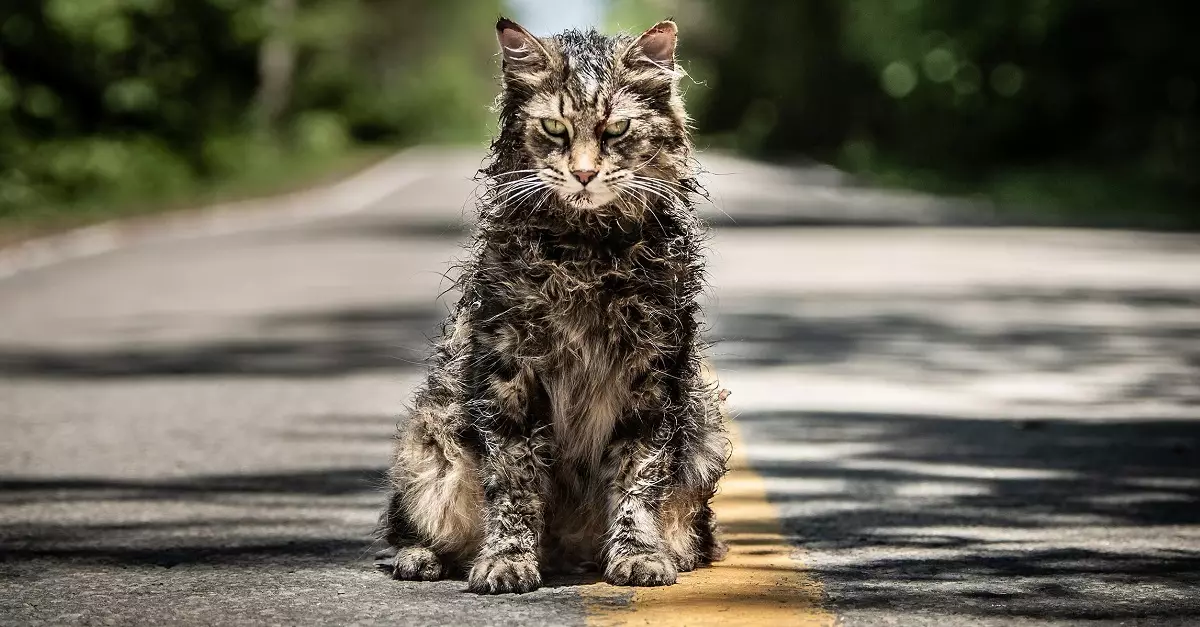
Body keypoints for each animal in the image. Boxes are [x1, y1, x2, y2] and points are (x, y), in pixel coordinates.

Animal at [379, 17, 724, 593]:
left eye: (616, 130)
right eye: (555, 129)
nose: (583, 174)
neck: (586, 253)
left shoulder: (652, 376)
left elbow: (637, 478)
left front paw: (638, 554)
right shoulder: (508, 372)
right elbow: (514, 482)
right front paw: (507, 560)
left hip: (705, 433)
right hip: (429, 439)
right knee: (412, 525)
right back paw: (421, 557)